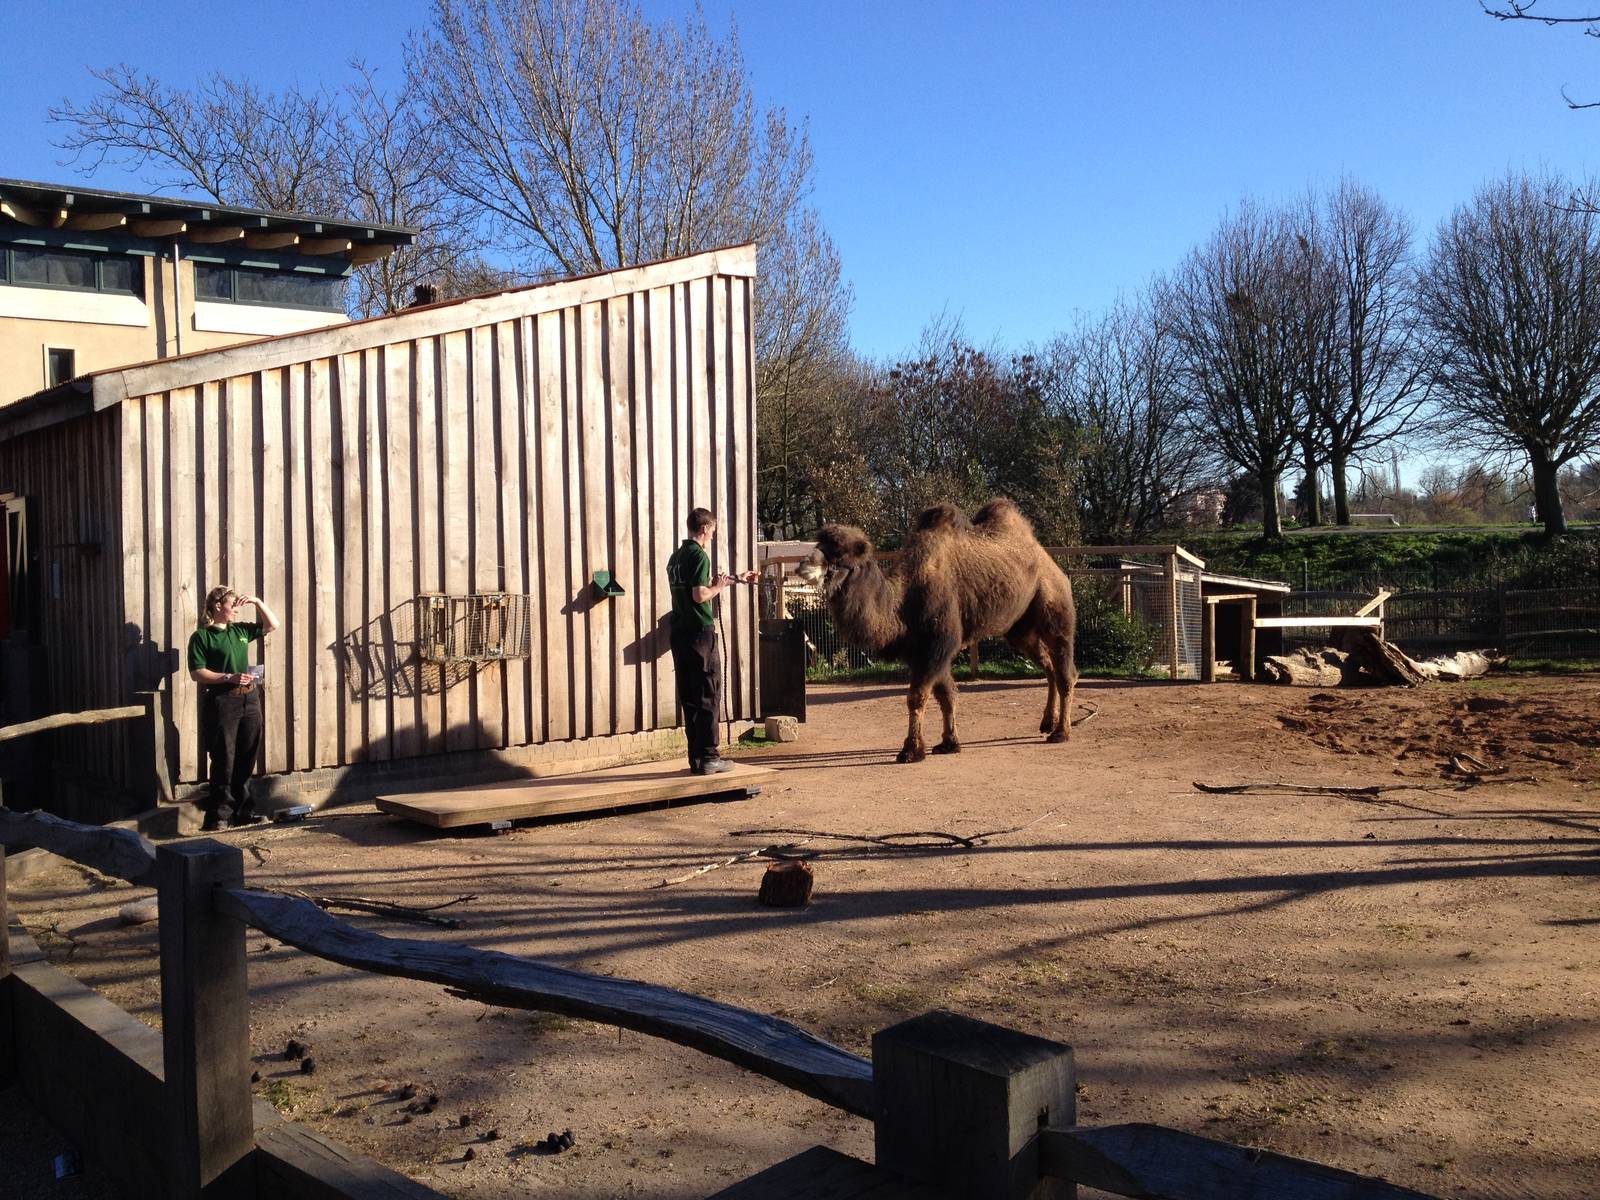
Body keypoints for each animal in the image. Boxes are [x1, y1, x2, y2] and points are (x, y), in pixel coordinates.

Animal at [795, 498, 1077, 762]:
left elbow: (917, 697)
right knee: (1048, 665)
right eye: (819, 544)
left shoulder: (937, 644)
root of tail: (1050, 562)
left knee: (1065, 670)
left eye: (839, 554)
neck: (902, 605)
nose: (802, 566)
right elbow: (946, 695)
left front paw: (911, 750)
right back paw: (1047, 722)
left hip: (1054, 605)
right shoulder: (923, 650)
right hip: (1020, 629)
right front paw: (948, 743)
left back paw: (1061, 732)